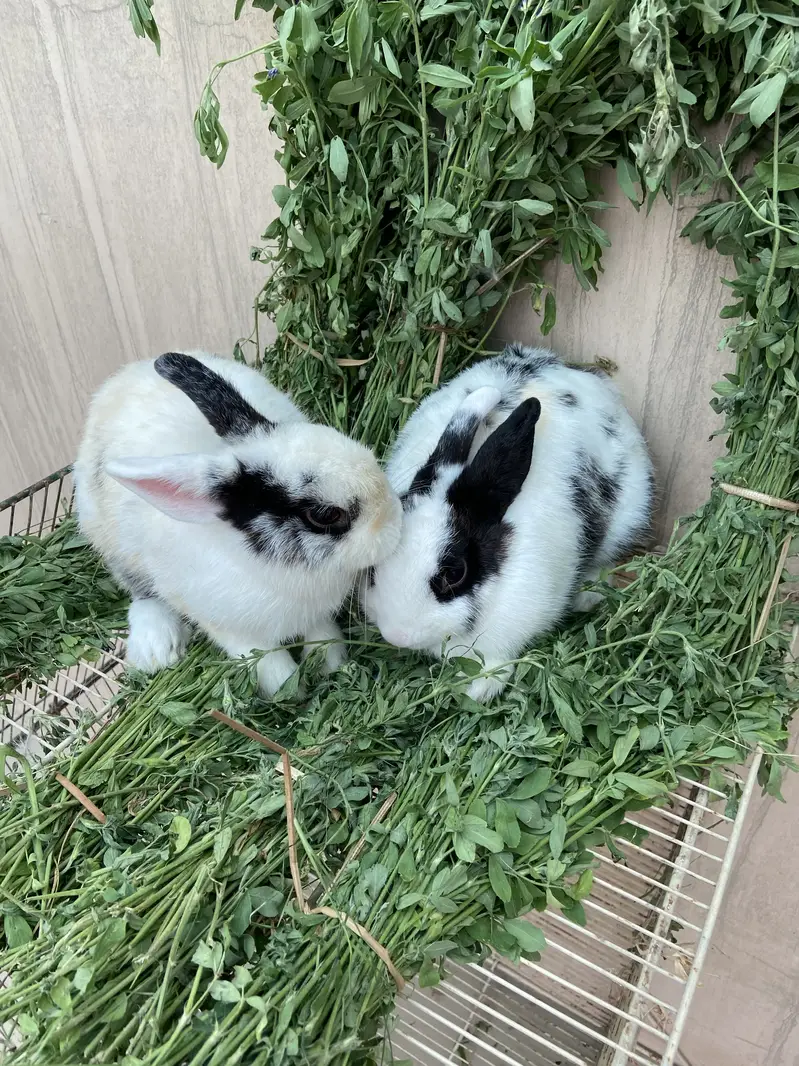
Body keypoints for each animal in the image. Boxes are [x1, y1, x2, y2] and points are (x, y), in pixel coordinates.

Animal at [74, 351, 402, 696]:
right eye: (325, 515)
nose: (396, 521)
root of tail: (122, 377)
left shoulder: (317, 616)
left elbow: (325, 640)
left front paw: (333, 668)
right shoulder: (232, 630)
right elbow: (269, 665)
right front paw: (291, 693)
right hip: (114, 545)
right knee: (142, 593)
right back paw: (156, 649)